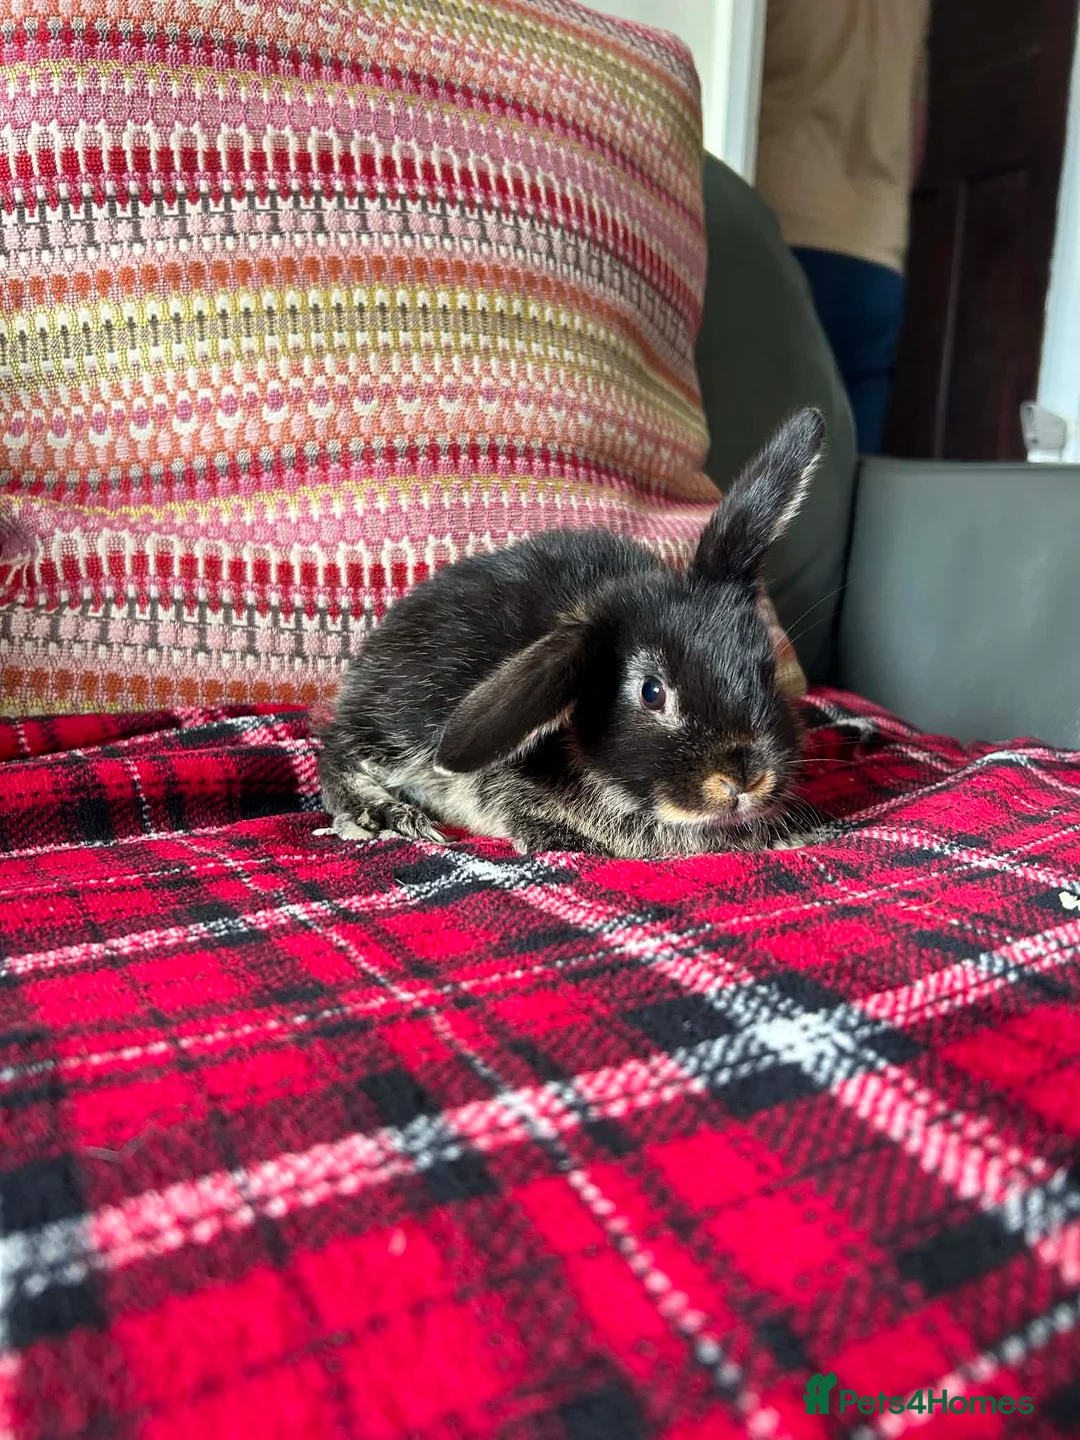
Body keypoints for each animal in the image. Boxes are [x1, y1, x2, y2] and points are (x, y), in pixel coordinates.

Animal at [317, 406, 825, 860]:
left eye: (766, 671)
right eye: (652, 692)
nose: (745, 778)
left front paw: (798, 828)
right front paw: (558, 839)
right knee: (335, 754)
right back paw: (386, 815)